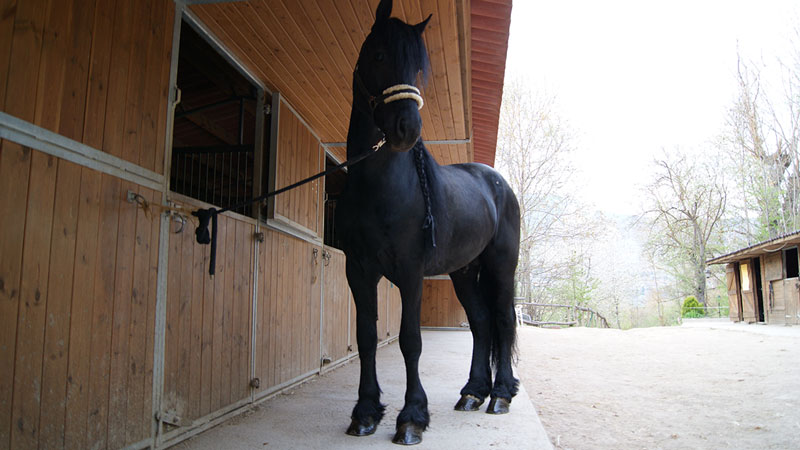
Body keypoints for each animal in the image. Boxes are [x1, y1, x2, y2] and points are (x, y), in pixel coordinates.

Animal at [335, 0, 521, 445]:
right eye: (378, 55)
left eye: (418, 69)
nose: (407, 129)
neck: (380, 187)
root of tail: (499, 185)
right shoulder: (359, 270)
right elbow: (366, 336)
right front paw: (365, 413)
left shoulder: (409, 271)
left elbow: (410, 340)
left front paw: (412, 417)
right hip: (464, 272)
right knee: (481, 323)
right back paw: (472, 392)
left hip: (501, 266)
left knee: (503, 321)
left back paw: (501, 395)